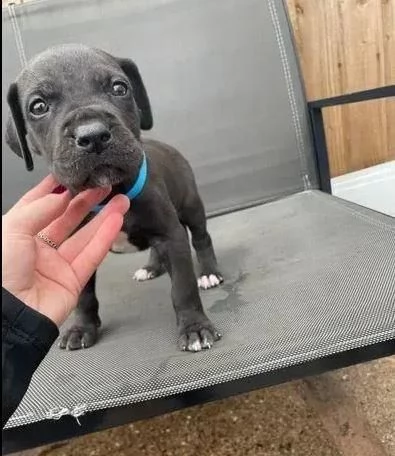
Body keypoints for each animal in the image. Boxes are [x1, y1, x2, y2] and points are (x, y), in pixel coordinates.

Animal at [6, 43, 224, 352]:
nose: (93, 135)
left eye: (119, 88)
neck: (110, 192)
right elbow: (83, 295)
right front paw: (81, 328)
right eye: (38, 107)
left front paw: (195, 327)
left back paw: (208, 272)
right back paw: (151, 267)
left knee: (201, 237)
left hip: (191, 205)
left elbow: (183, 286)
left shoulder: (170, 235)